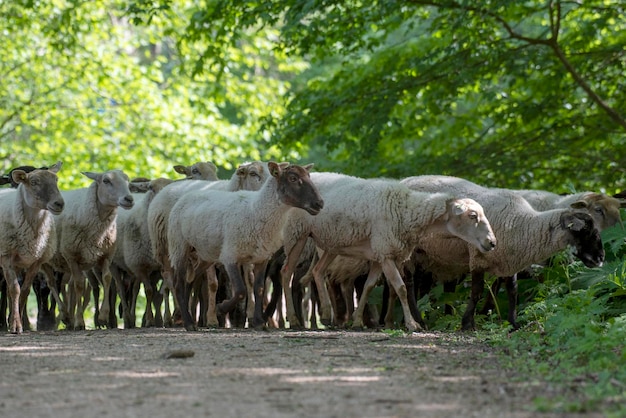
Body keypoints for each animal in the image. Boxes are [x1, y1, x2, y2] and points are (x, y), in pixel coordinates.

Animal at [50, 169, 134, 330]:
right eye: (106, 181)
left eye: (127, 180)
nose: (129, 199)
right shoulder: (71, 256)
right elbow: (79, 285)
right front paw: (80, 322)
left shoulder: (106, 255)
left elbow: (107, 279)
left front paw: (103, 317)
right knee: (53, 284)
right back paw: (65, 314)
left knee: (67, 285)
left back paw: (69, 317)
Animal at [166, 162, 322, 332]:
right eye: (293, 178)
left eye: (309, 176)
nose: (320, 203)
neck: (256, 210)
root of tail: (188, 195)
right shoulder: (230, 257)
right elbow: (241, 291)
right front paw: (221, 309)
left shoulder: (262, 258)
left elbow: (259, 288)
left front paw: (259, 322)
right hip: (179, 246)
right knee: (179, 284)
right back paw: (188, 323)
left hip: (205, 254)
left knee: (190, 280)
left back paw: (186, 318)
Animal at [280, 171, 494, 332]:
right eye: (472, 215)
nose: (492, 242)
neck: (406, 211)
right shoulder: (385, 253)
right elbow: (401, 288)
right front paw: (412, 324)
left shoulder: (383, 253)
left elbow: (369, 286)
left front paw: (357, 321)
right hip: (296, 234)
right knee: (287, 273)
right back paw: (294, 320)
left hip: (332, 243)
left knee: (318, 271)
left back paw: (325, 314)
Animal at [398, 176, 604, 330]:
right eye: (590, 232)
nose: (601, 258)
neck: (523, 224)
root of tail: (405, 180)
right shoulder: (478, 258)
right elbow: (476, 292)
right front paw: (467, 323)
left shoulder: (510, 260)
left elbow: (513, 291)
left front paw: (513, 323)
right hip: (409, 251)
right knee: (409, 284)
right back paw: (418, 321)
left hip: (426, 256)